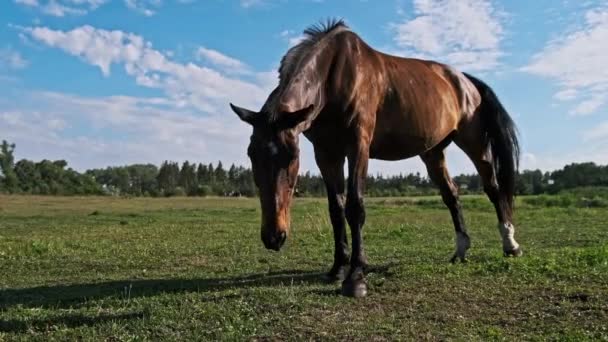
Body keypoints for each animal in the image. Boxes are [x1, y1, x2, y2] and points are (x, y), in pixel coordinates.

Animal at [229, 20, 524, 296]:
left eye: (292, 157)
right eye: (251, 154)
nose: (273, 237)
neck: (335, 75)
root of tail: (465, 81)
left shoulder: (358, 146)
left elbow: (355, 207)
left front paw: (356, 276)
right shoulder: (326, 153)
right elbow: (336, 210)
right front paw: (338, 268)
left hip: (474, 144)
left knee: (493, 188)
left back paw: (510, 244)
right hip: (433, 152)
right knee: (451, 195)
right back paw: (461, 250)